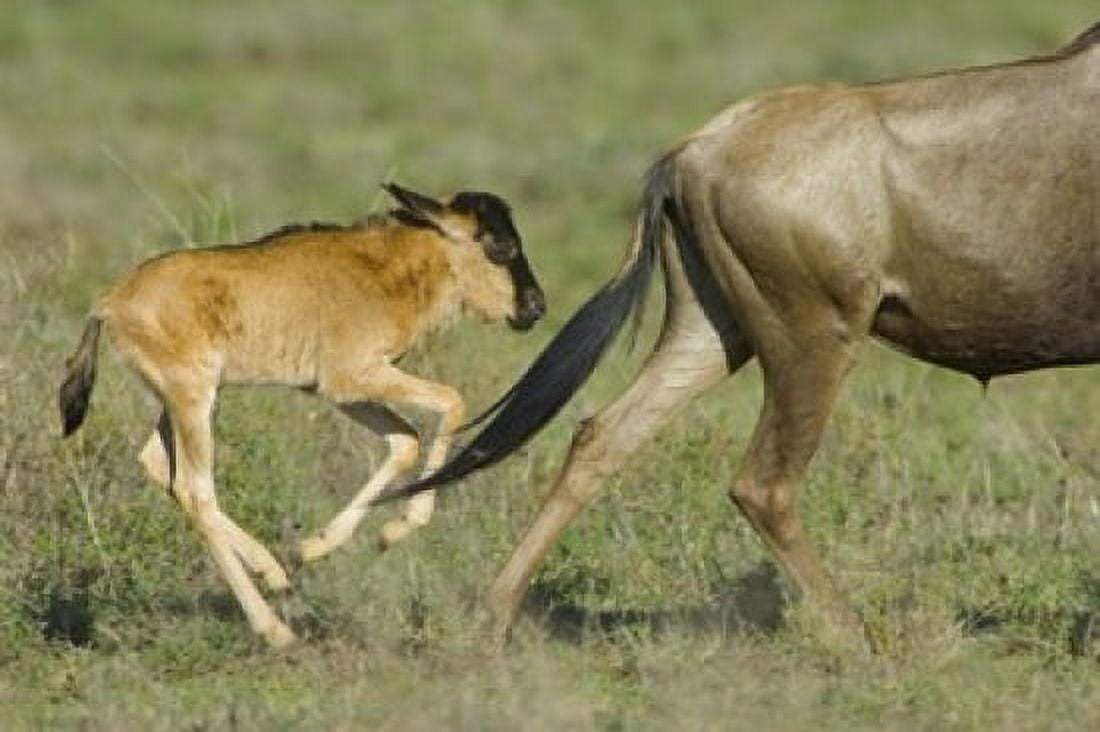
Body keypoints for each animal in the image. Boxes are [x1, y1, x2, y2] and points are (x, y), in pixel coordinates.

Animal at [58, 183, 545, 647]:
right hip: (192, 399)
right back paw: (275, 630)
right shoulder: (352, 378)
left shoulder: (342, 392)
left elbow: (405, 441)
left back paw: (276, 571)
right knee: (197, 493)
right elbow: (452, 400)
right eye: (499, 244)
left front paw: (317, 547)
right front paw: (400, 526)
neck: (389, 267)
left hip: (185, 403)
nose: (536, 307)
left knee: (160, 468)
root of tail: (110, 302)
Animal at [385, 22, 1100, 651]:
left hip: (711, 333)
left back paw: (493, 623)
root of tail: (687, 156)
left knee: (602, 436)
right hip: (814, 339)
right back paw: (860, 646)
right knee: (763, 483)